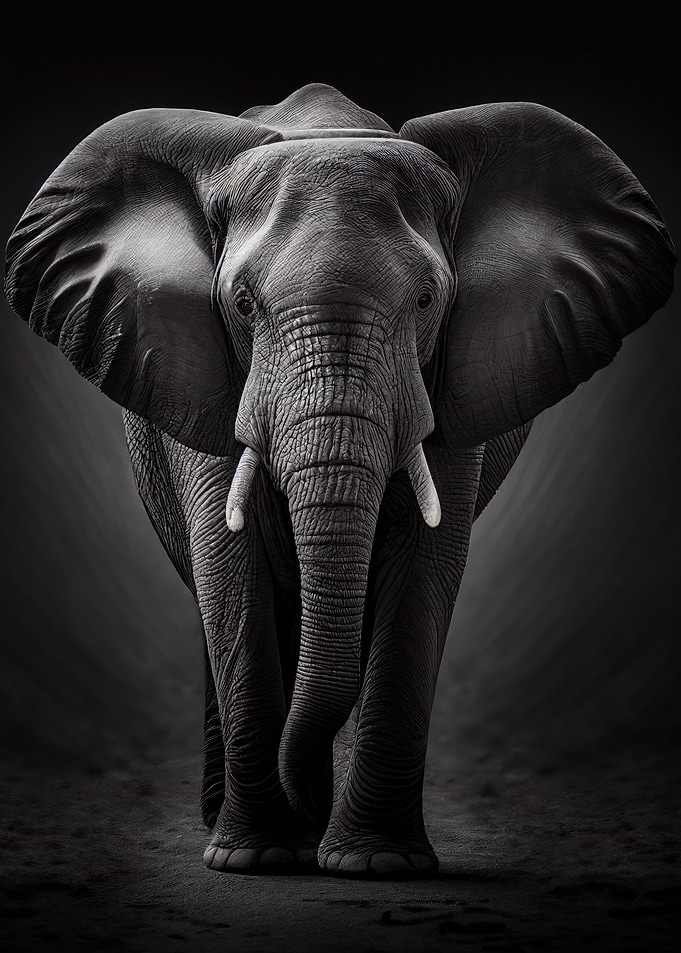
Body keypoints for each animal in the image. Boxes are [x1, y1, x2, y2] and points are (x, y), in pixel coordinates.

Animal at [4, 82, 674, 879]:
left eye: (427, 301)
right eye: (241, 304)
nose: (301, 806)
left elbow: (420, 570)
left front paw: (377, 864)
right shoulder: (206, 376)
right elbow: (230, 570)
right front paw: (256, 856)